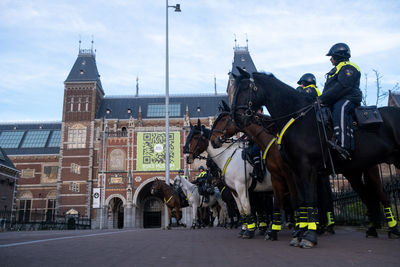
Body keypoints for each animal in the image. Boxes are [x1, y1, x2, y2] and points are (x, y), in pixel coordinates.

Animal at [230, 68, 400, 248]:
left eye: (246, 88)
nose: (236, 117)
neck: (298, 120)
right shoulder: (295, 171)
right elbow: (301, 201)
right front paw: (300, 233)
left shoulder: (306, 168)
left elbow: (309, 199)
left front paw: (308, 235)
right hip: (355, 173)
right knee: (369, 198)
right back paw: (373, 229)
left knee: (382, 196)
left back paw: (392, 229)